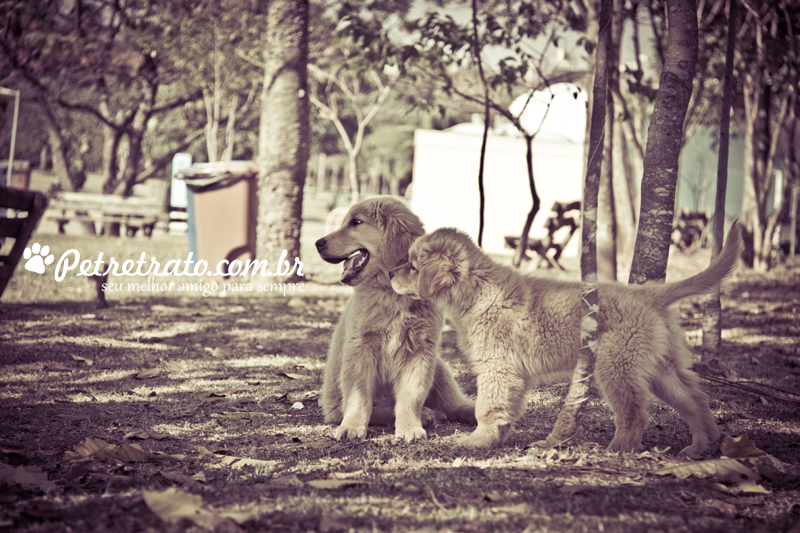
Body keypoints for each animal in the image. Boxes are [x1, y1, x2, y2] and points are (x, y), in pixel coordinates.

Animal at [312, 197, 476, 442]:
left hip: (439, 368)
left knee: (454, 404)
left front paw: (409, 427)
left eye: (356, 222)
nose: (318, 243)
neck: (393, 295)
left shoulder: (420, 351)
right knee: (374, 409)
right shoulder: (360, 347)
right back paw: (425, 414)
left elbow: (411, 394)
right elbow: (359, 396)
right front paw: (352, 426)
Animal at [390, 224, 744, 458]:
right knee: (694, 400)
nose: (391, 274)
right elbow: (506, 408)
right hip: (661, 368)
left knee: (634, 412)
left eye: (413, 266)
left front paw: (477, 439)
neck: (477, 290)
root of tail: (648, 294)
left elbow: (487, 406)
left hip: (616, 367)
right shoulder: (514, 373)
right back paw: (702, 446)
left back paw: (616, 450)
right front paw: (496, 438)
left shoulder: (497, 367)